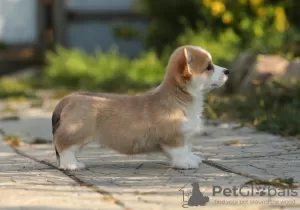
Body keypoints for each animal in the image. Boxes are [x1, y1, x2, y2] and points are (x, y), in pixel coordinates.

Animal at [52, 45, 230, 170]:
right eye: (209, 67)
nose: (227, 71)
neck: (179, 96)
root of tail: (68, 98)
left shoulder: (183, 136)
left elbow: (187, 148)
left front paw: (192, 158)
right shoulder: (174, 137)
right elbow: (180, 151)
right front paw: (185, 163)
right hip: (76, 133)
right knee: (64, 147)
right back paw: (72, 165)